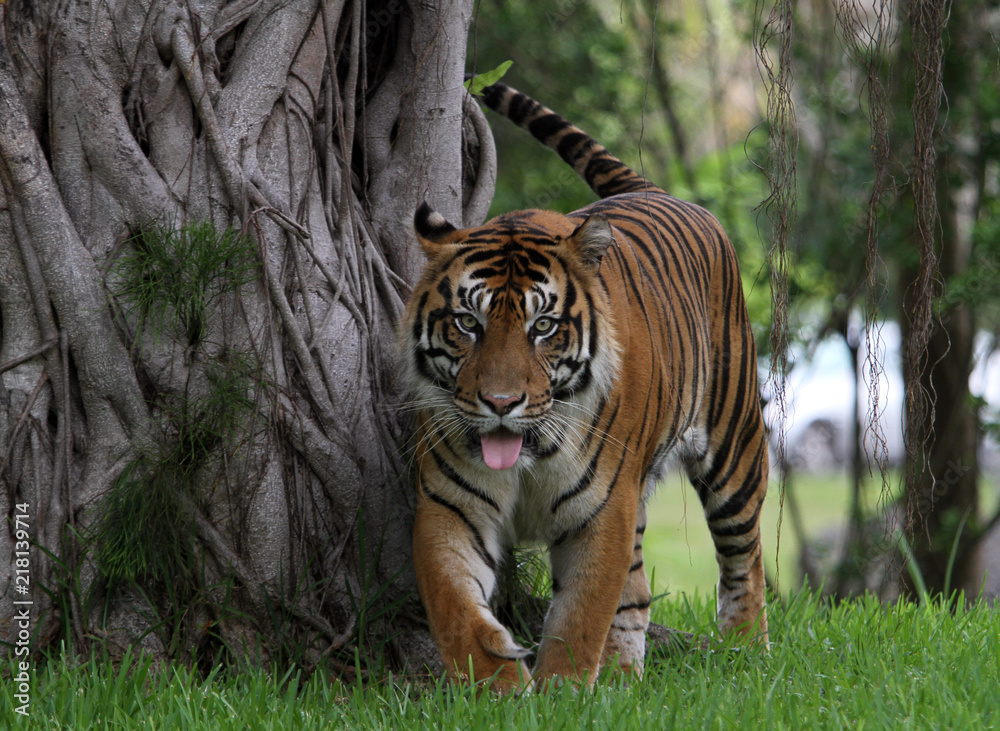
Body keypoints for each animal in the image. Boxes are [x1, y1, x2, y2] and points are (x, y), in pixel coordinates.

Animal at [400, 80, 769, 691]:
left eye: (543, 326)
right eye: (468, 323)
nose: (501, 403)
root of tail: (658, 192)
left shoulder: (603, 511)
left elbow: (581, 614)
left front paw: (563, 693)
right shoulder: (450, 505)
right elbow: (456, 608)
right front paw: (496, 689)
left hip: (735, 448)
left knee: (745, 558)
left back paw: (744, 655)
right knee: (638, 592)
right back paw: (621, 678)